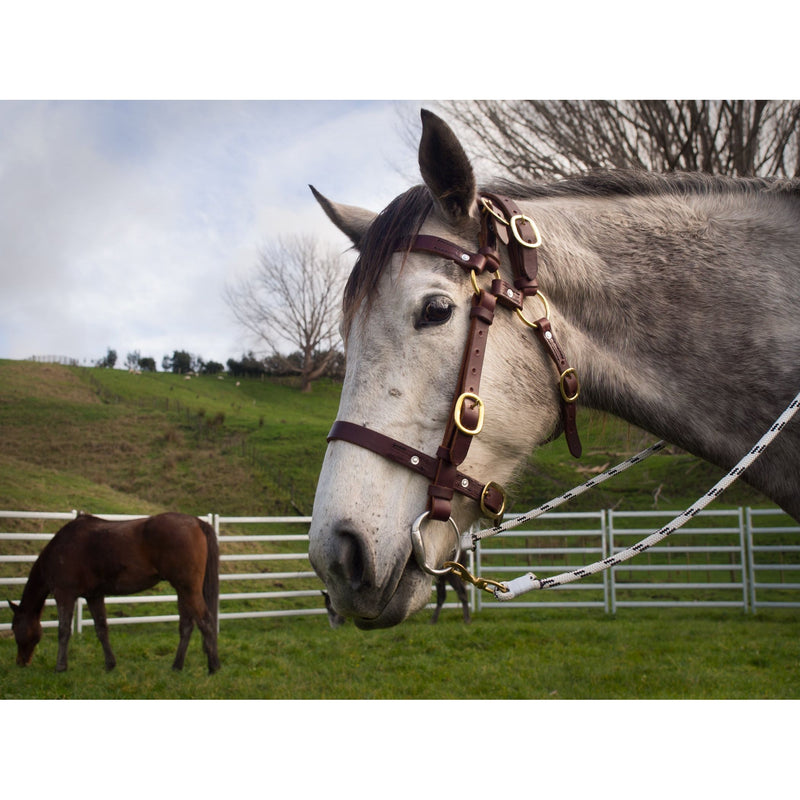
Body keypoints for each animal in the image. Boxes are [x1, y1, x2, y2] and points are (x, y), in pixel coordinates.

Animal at [7, 510, 219, 672]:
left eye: (14, 627)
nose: (21, 662)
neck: (60, 549)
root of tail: (198, 522)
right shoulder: (94, 596)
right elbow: (102, 629)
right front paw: (110, 664)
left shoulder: (64, 595)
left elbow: (64, 630)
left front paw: (60, 666)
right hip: (183, 590)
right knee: (187, 626)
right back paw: (177, 666)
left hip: (188, 589)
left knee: (205, 621)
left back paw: (213, 667)